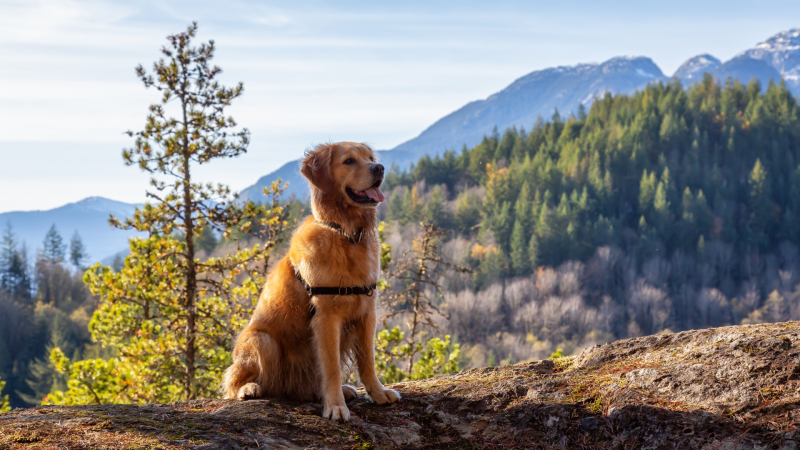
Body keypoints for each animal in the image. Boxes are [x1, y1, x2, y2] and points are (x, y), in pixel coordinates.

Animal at [222, 142, 400, 422]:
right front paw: (335, 406)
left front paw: (379, 394)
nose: (379, 168)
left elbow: (367, 362)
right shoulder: (326, 317)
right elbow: (332, 368)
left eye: (370, 158)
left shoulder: (367, 313)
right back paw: (248, 388)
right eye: (349, 161)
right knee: (235, 381)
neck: (345, 234)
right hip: (262, 340)